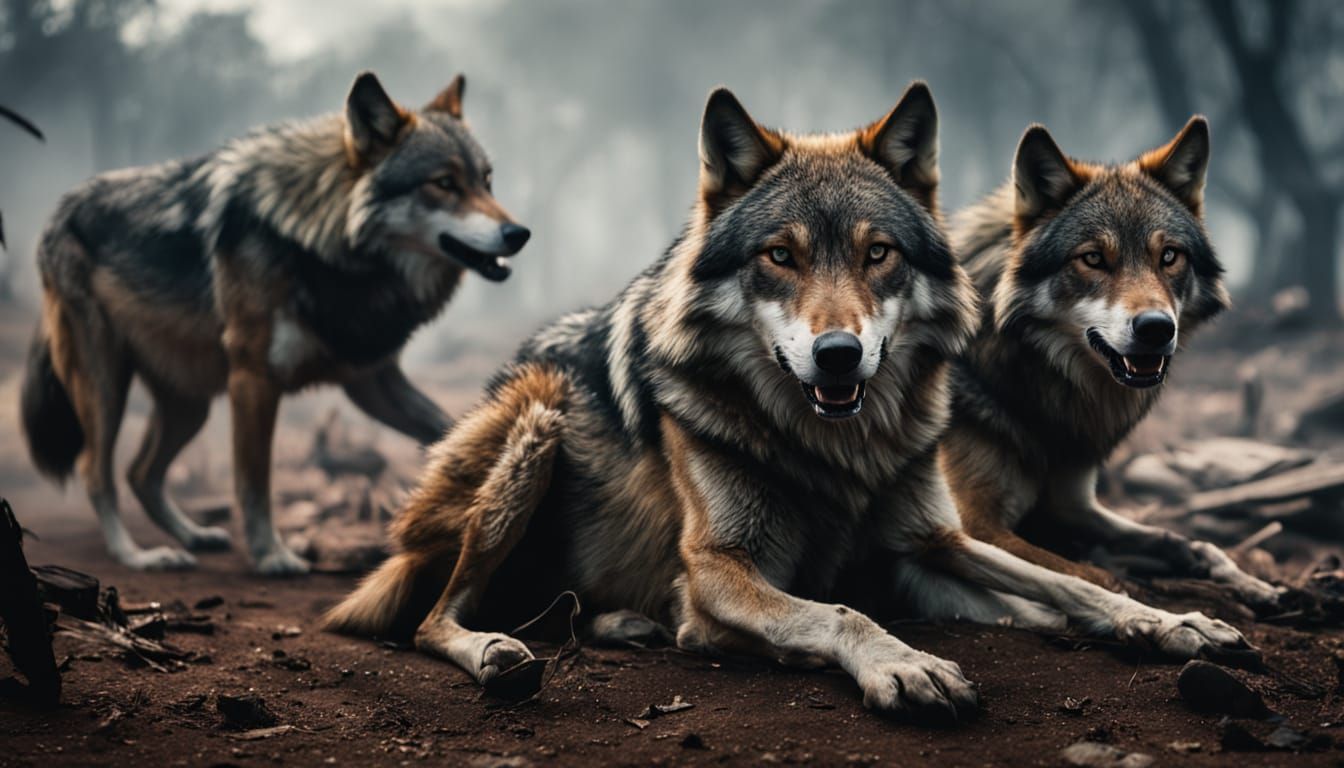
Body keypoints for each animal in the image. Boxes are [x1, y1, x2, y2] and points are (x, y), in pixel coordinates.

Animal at [20, 71, 530, 575]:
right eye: (444, 183)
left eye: (487, 181)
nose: (519, 233)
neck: (322, 244)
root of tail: (57, 211)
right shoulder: (254, 379)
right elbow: (254, 481)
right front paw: (271, 556)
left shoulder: (371, 379)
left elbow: (448, 427)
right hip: (105, 386)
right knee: (96, 470)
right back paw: (138, 556)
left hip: (189, 402)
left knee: (140, 472)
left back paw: (194, 536)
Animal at [942, 118, 1283, 608]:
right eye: (1093, 259)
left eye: (1169, 256)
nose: (1157, 328)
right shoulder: (975, 526)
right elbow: (1091, 575)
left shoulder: (1074, 505)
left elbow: (1184, 541)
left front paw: (1250, 581)